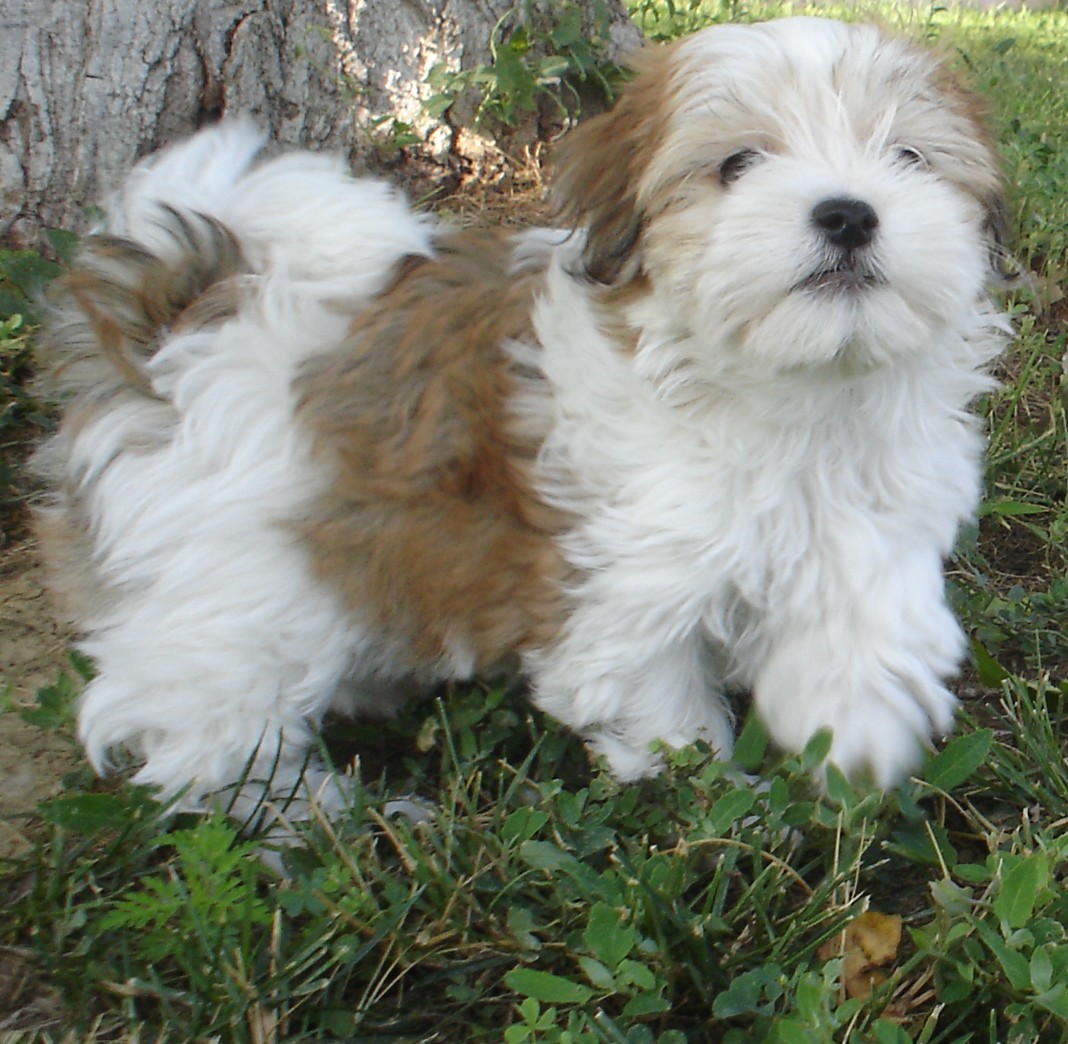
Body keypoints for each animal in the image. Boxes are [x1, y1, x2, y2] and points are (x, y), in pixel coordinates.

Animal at [35, 18, 1008, 815]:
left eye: (908, 158)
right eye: (737, 165)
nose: (847, 213)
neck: (799, 388)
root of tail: (180, 319)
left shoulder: (867, 527)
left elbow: (857, 630)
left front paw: (859, 739)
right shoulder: (621, 583)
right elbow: (656, 699)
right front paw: (706, 793)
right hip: (235, 592)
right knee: (197, 717)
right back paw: (297, 815)